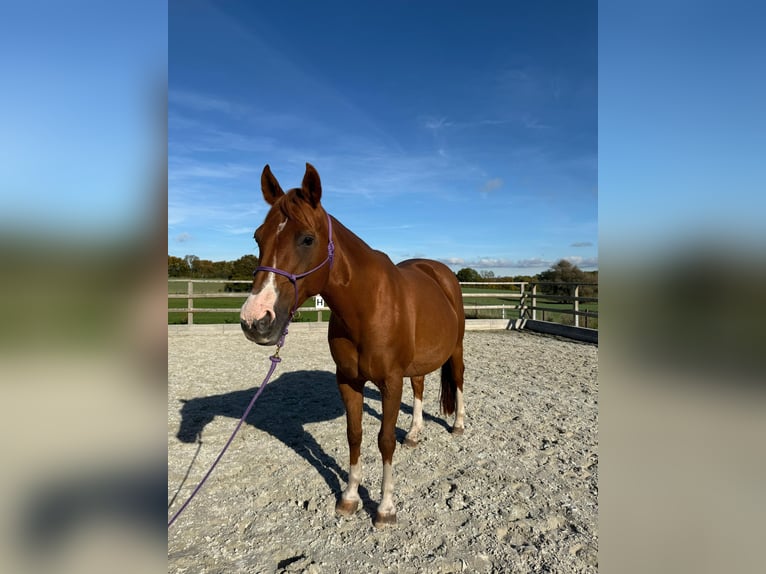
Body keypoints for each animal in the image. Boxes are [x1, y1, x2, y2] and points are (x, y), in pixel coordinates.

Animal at [240, 163, 465, 527]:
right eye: (258, 237)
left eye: (307, 239)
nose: (255, 320)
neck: (367, 305)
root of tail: (440, 271)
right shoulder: (348, 380)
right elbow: (354, 435)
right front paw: (348, 498)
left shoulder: (390, 382)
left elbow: (384, 440)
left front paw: (385, 508)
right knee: (419, 385)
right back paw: (414, 433)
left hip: (456, 349)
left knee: (457, 379)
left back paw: (457, 425)